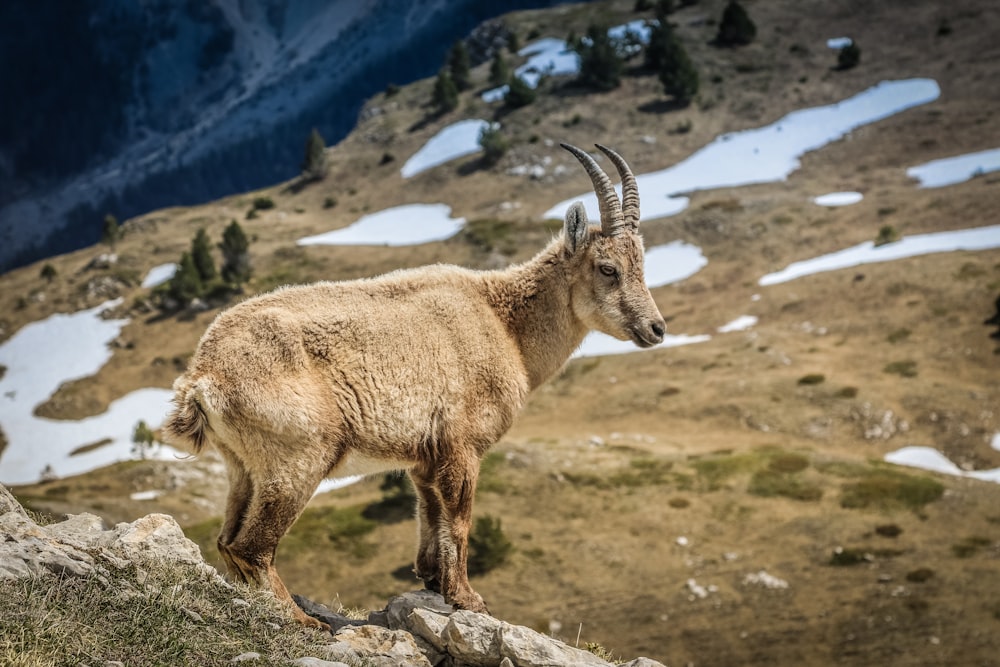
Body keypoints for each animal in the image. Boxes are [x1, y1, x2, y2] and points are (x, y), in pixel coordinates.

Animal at [162, 144, 664, 628]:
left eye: (641, 265)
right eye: (607, 268)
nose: (656, 328)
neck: (505, 324)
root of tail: (202, 377)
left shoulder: (424, 456)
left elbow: (429, 512)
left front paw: (432, 581)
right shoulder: (462, 445)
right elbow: (459, 520)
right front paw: (467, 598)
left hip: (244, 467)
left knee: (228, 541)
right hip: (299, 458)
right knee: (252, 547)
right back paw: (302, 620)